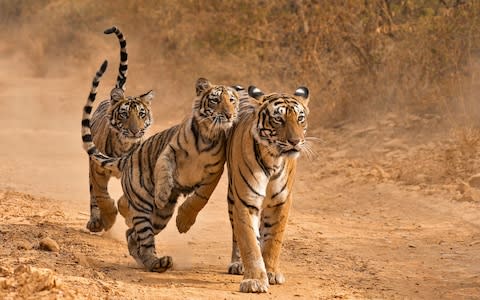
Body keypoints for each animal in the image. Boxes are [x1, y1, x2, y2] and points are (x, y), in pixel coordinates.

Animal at [84, 25, 154, 232]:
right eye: (124, 114)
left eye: (141, 114)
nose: (135, 131)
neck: (124, 145)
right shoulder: (96, 168)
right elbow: (102, 196)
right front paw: (107, 219)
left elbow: (127, 199)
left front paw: (126, 213)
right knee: (93, 195)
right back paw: (95, 222)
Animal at [174, 85, 310, 292]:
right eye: (278, 119)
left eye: (300, 118)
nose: (295, 141)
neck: (273, 160)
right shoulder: (246, 200)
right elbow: (249, 242)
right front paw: (255, 280)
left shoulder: (280, 202)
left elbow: (273, 240)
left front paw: (270, 272)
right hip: (232, 196)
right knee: (237, 234)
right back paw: (238, 264)